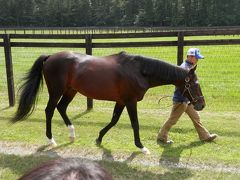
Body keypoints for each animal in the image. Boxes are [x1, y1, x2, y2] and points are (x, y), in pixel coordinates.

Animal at [12, 51, 205, 155]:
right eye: (195, 84)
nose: (201, 105)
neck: (140, 71)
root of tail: (51, 56)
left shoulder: (120, 101)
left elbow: (113, 120)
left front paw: (98, 138)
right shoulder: (130, 101)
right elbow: (135, 123)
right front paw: (142, 147)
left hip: (70, 91)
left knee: (61, 108)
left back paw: (72, 134)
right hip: (56, 91)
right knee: (50, 110)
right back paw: (51, 139)